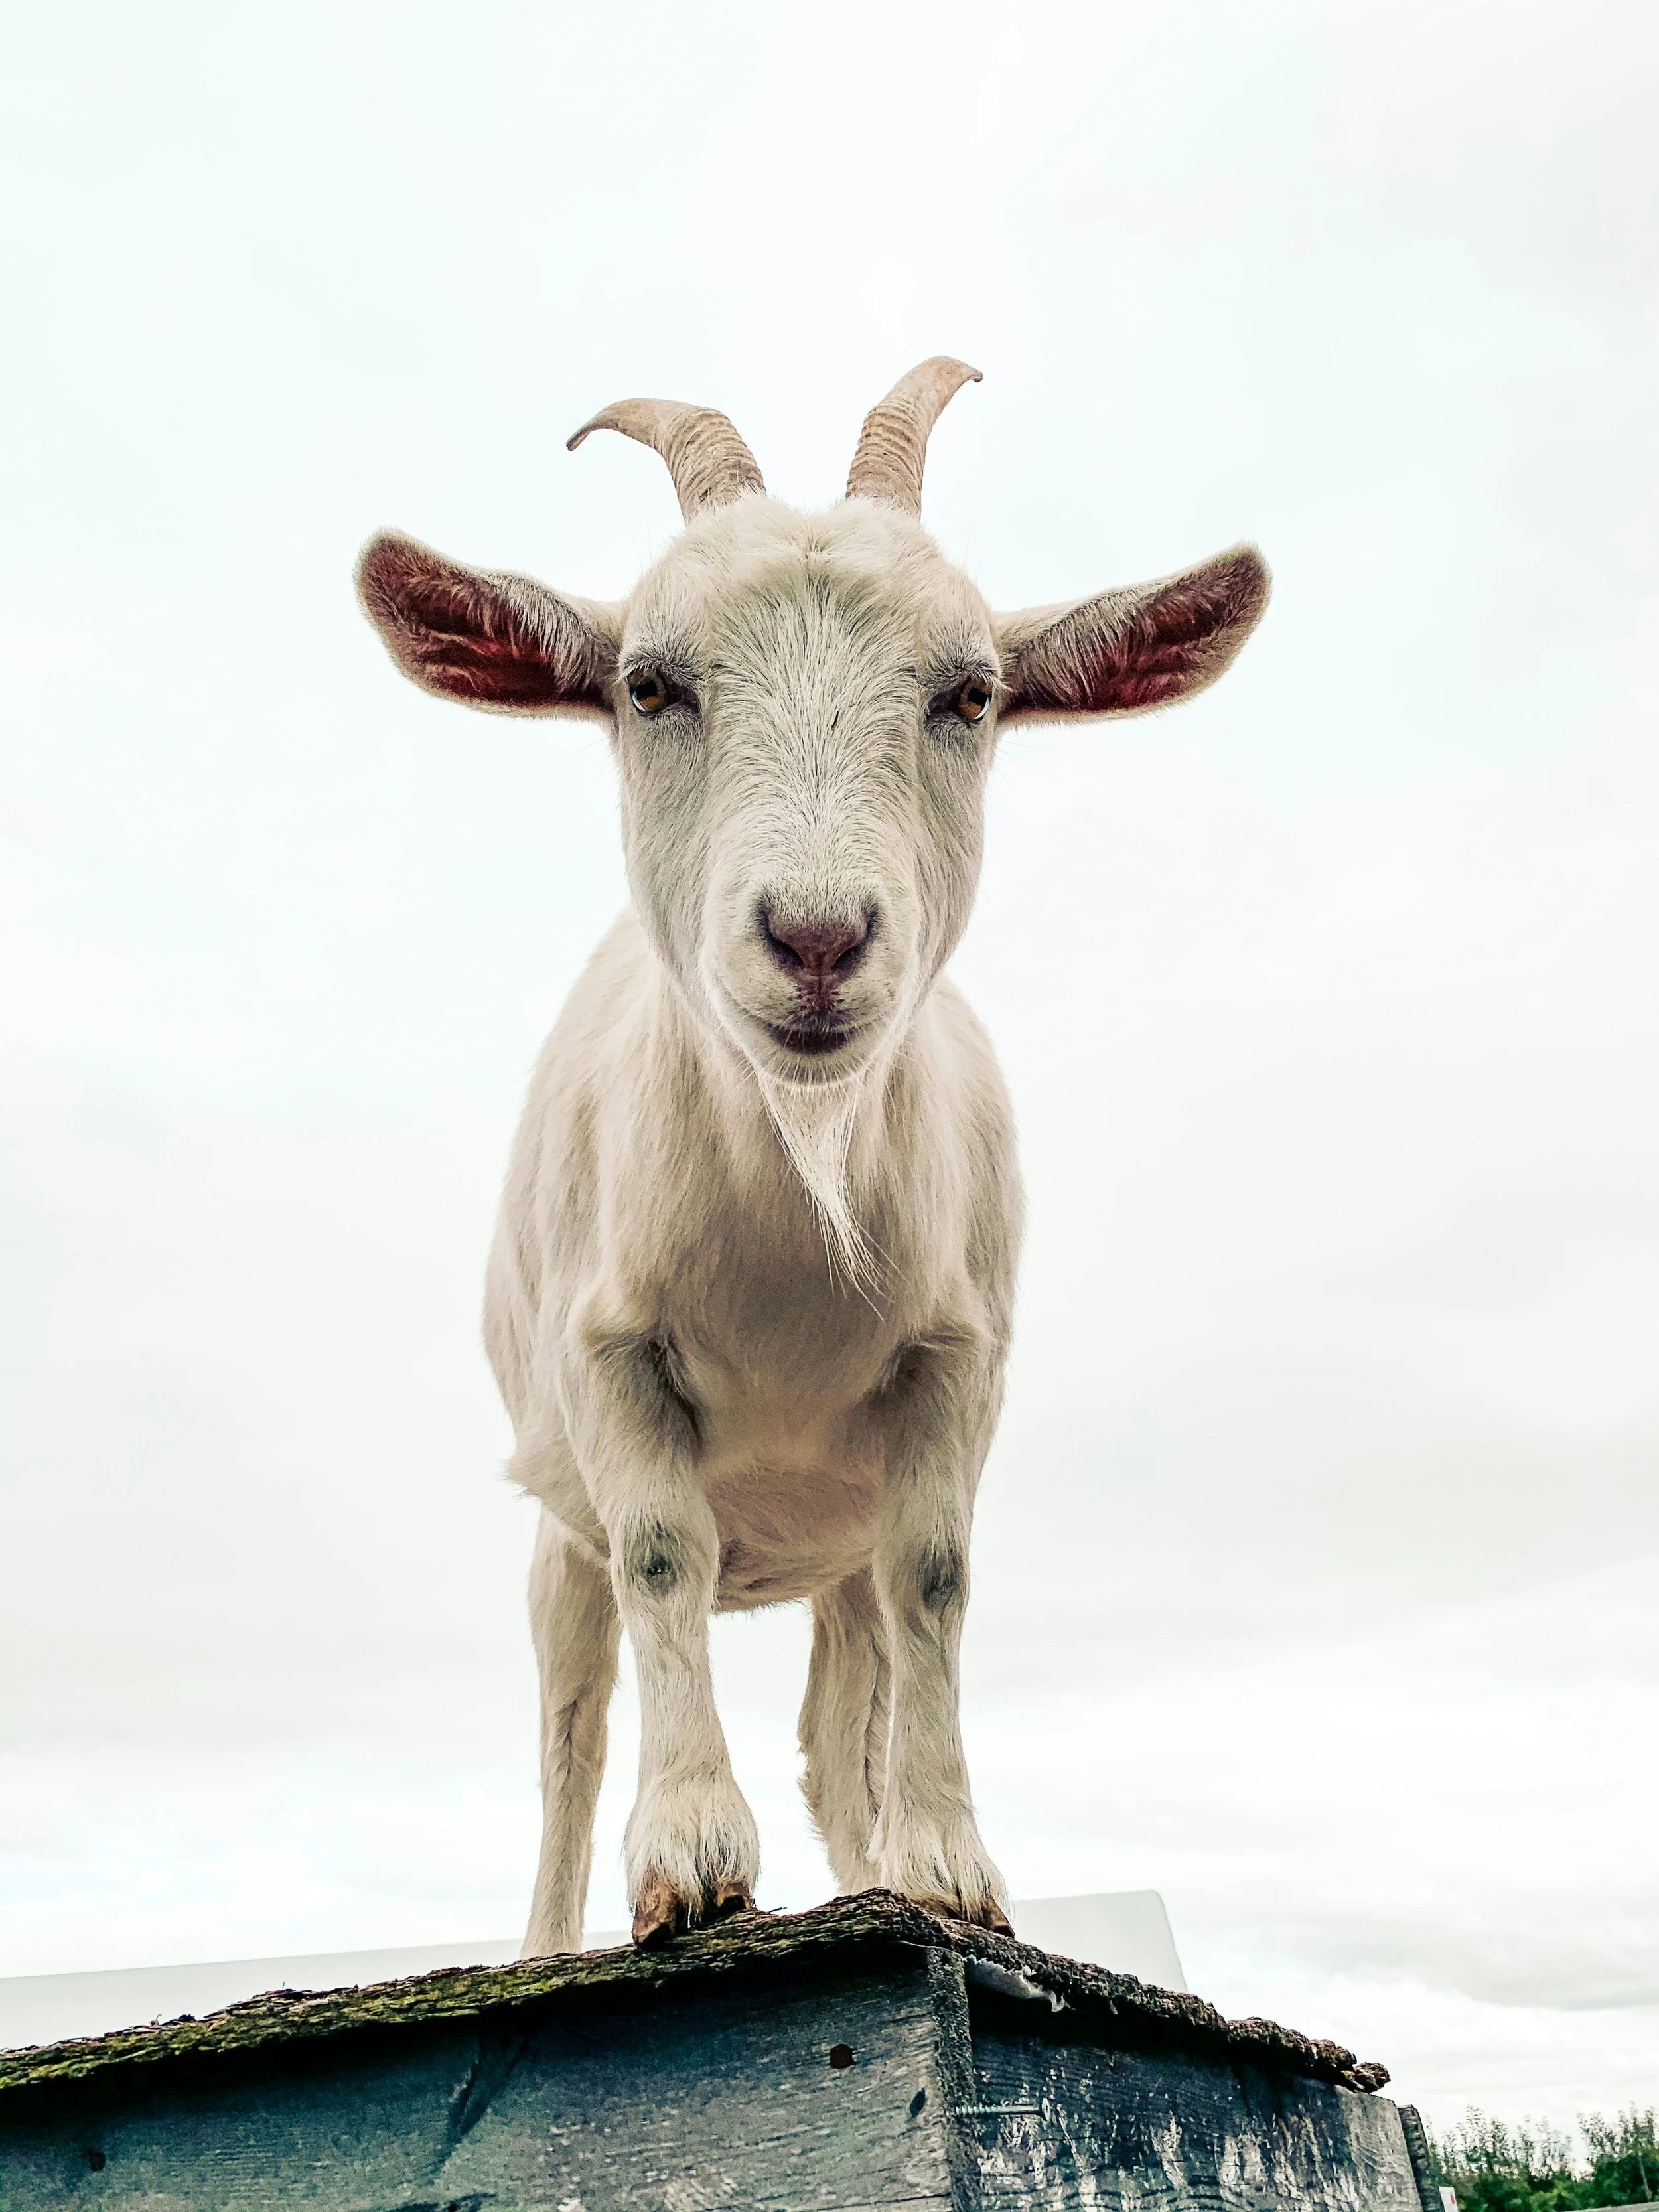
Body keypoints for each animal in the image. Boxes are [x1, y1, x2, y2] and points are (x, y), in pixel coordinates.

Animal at [358, 361, 1268, 1952]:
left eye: (970, 694)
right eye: (647, 684)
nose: (820, 936)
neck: (799, 1193)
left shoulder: (954, 1367)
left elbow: (937, 1582)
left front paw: (949, 1869)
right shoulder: (610, 1357)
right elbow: (664, 1556)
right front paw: (687, 1860)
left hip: (830, 1552)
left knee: (844, 1724)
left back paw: (873, 1859)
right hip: (553, 1529)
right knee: (569, 1728)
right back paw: (544, 1936)